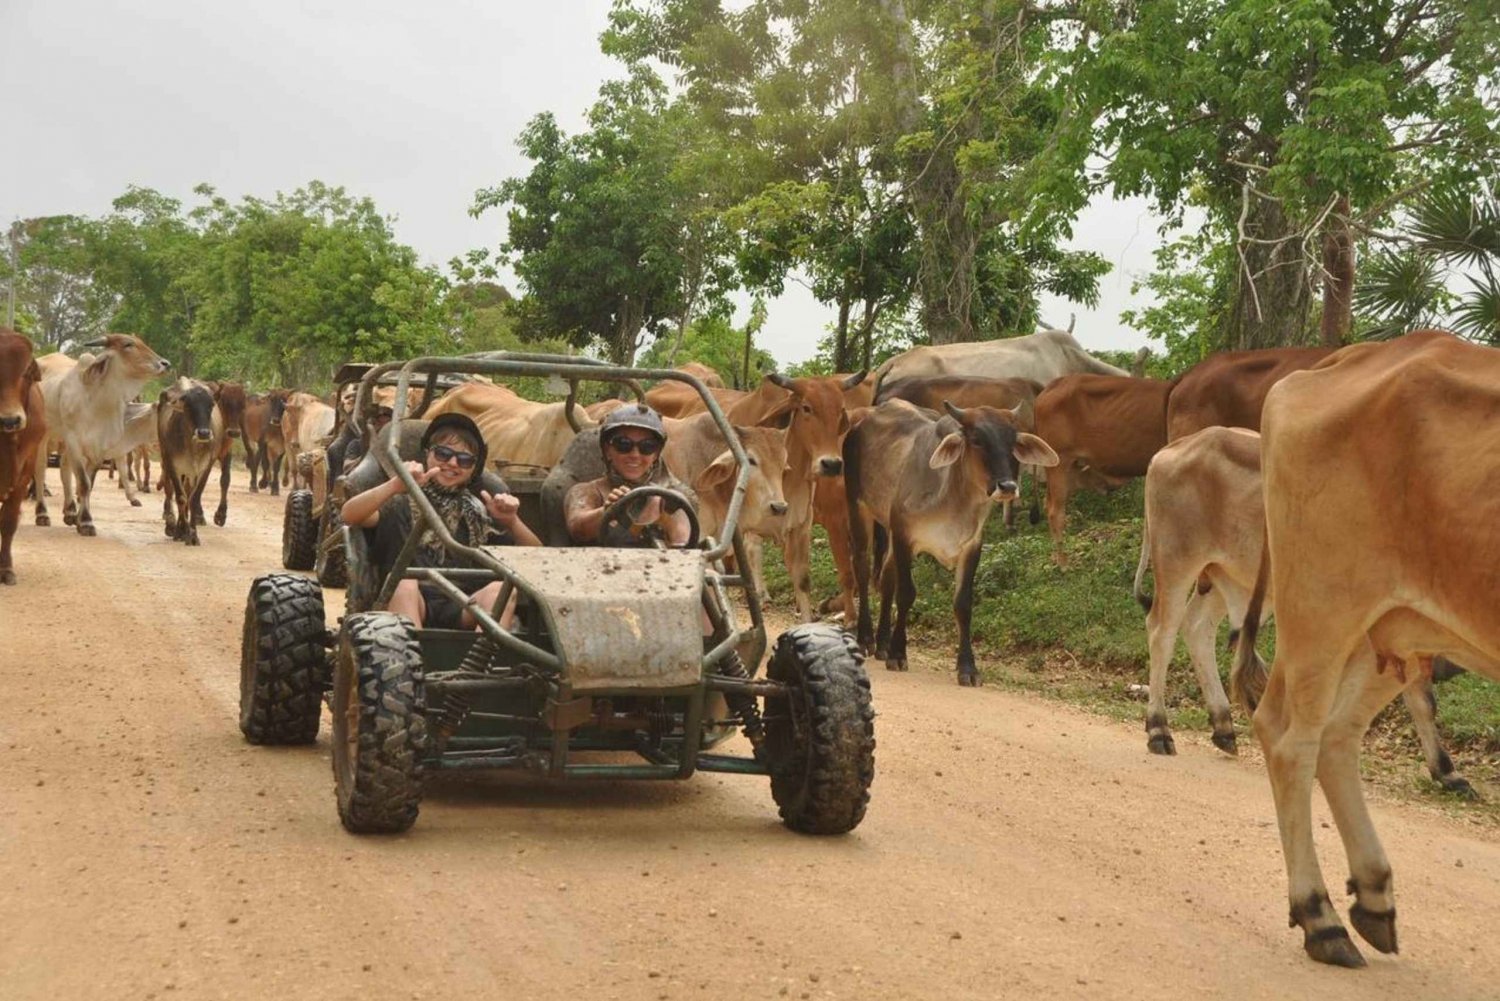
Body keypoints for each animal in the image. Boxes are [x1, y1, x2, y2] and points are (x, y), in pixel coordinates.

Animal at [1128, 426, 1470, 792]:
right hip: (1177, 562)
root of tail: (1174, 449)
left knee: (1197, 628)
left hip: (1228, 577)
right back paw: (1159, 729)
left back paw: (1223, 726)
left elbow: (1419, 700)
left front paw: (1446, 771)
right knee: (1162, 631)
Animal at [1230, 333, 1500, 966]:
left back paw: (1374, 897)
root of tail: (1346, 356)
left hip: (1398, 624)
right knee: (1288, 735)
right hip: (1322, 608)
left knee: (1338, 735)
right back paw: (1320, 916)